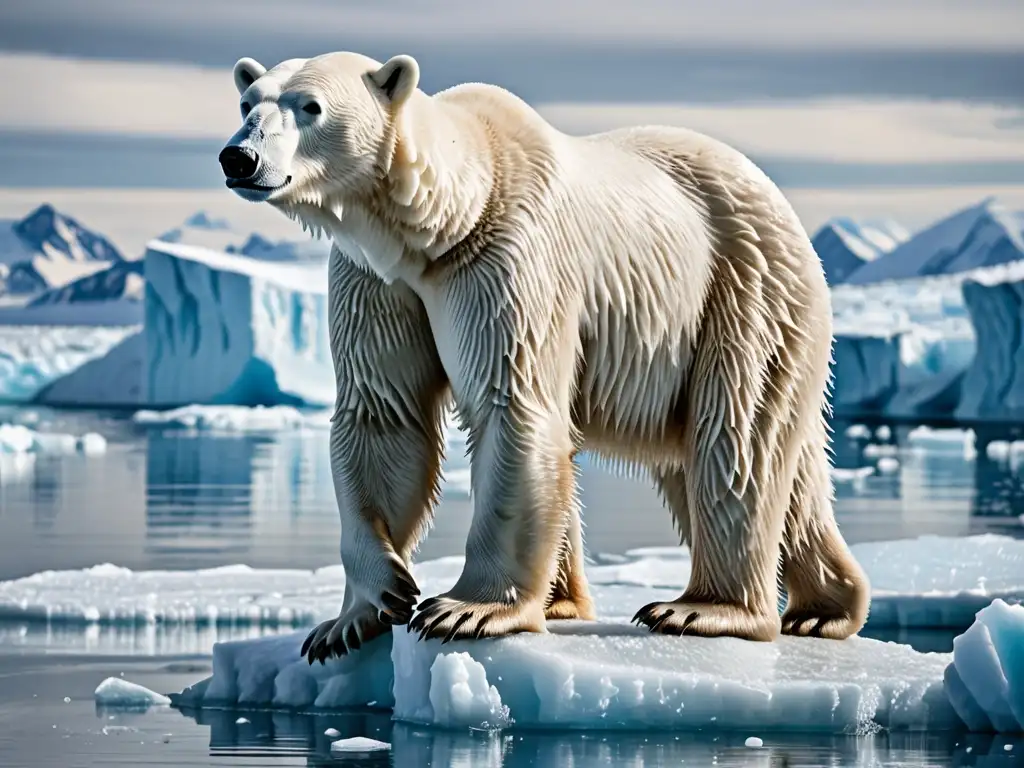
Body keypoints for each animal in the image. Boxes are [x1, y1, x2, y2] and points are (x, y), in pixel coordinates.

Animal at [218, 52, 872, 667]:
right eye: (248, 102)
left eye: (311, 106)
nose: (238, 158)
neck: (445, 220)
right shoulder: (377, 279)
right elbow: (383, 414)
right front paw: (359, 612)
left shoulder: (505, 260)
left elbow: (512, 404)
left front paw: (465, 610)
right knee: (771, 467)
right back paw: (821, 609)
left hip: (741, 287)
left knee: (734, 439)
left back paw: (702, 608)